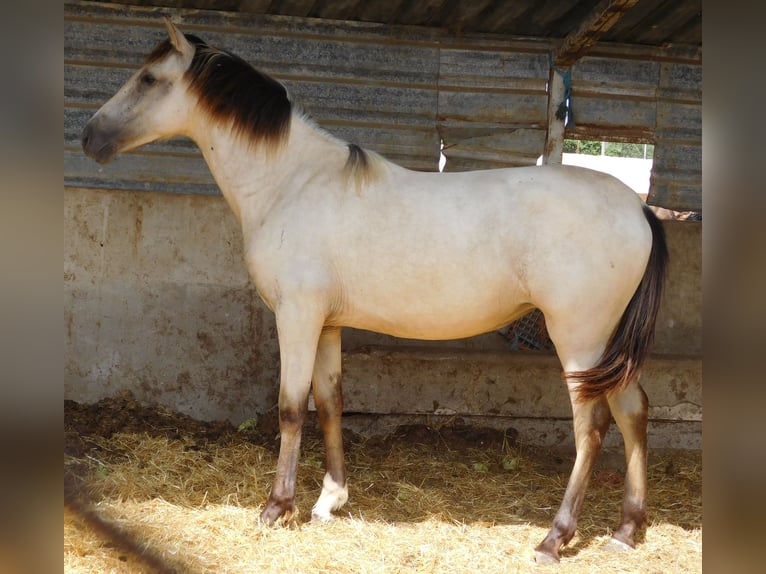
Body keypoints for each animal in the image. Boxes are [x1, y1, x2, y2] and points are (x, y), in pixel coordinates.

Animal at [82, 19, 664, 568]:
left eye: (149, 78)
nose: (89, 137)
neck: (291, 183)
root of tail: (638, 208)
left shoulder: (297, 316)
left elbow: (290, 407)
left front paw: (276, 508)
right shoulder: (327, 324)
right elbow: (329, 402)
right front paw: (329, 501)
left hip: (579, 339)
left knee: (592, 426)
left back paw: (554, 539)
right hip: (605, 346)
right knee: (633, 409)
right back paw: (626, 531)